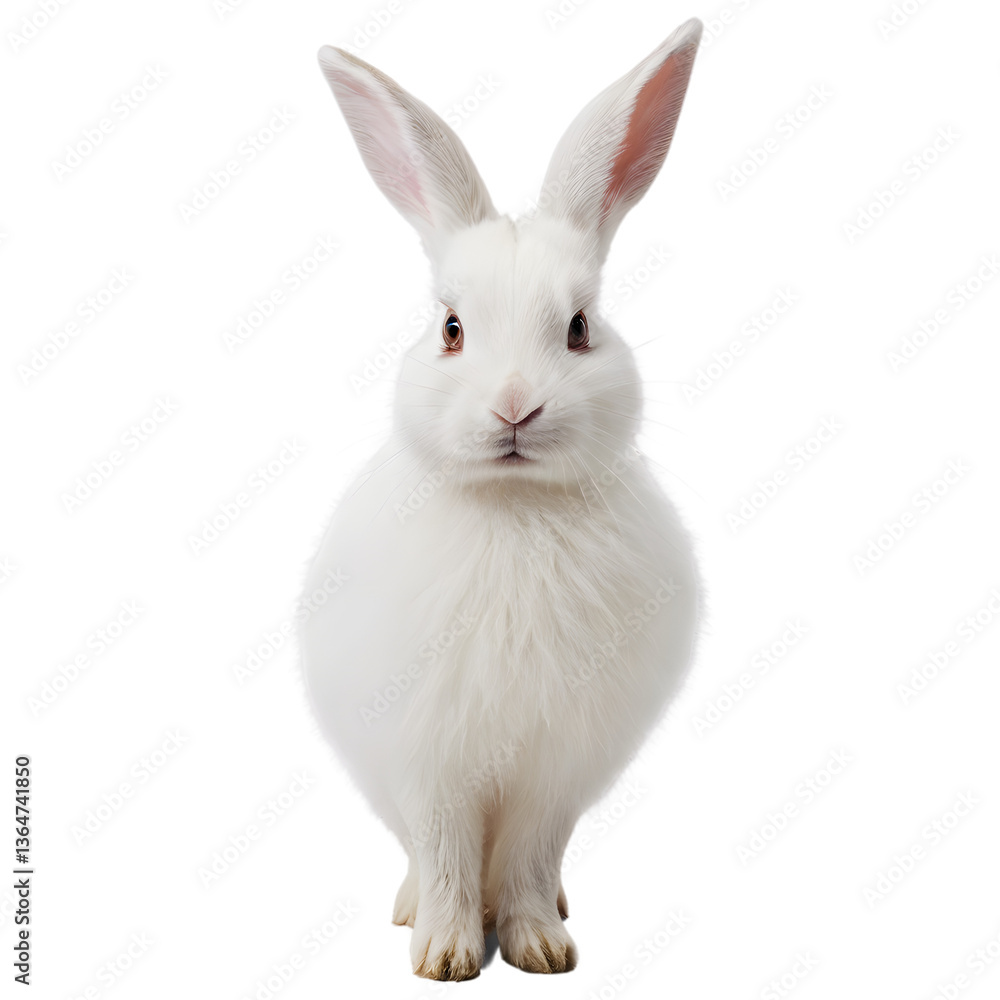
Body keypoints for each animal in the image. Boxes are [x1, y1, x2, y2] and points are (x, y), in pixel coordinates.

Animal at [300, 17, 704, 981]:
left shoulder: (554, 774)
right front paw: (445, 954)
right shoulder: (430, 759)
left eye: (581, 328)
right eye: (450, 329)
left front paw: (540, 948)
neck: (512, 505)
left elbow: (526, 857)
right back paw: (411, 909)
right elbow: (445, 851)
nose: (516, 406)